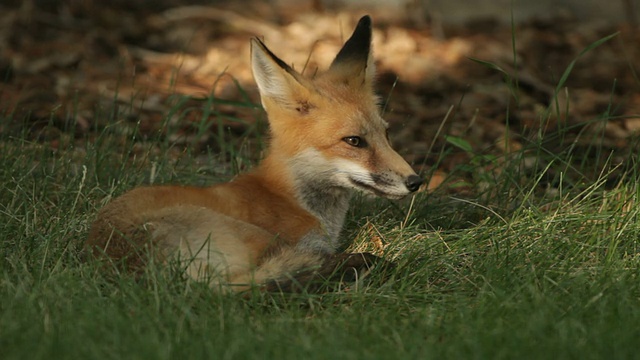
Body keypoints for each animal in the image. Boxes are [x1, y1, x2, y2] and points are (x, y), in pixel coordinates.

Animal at [86, 15, 424, 294]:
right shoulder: (297, 243)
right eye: (354, 141)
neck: (292, 199)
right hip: (256, 241)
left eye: (386, 134)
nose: (416, 181)